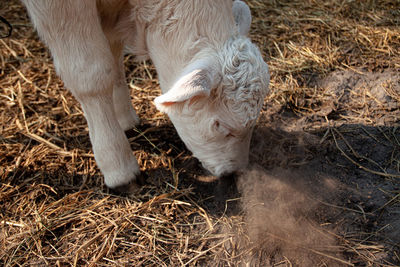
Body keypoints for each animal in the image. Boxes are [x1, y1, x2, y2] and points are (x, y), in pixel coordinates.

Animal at [22, 0, 272, 188]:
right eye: (220, 126)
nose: (234, 173)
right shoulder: (60, 8)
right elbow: (90, 75)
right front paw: (119, 167)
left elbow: (114, 55)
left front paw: (125, 119)